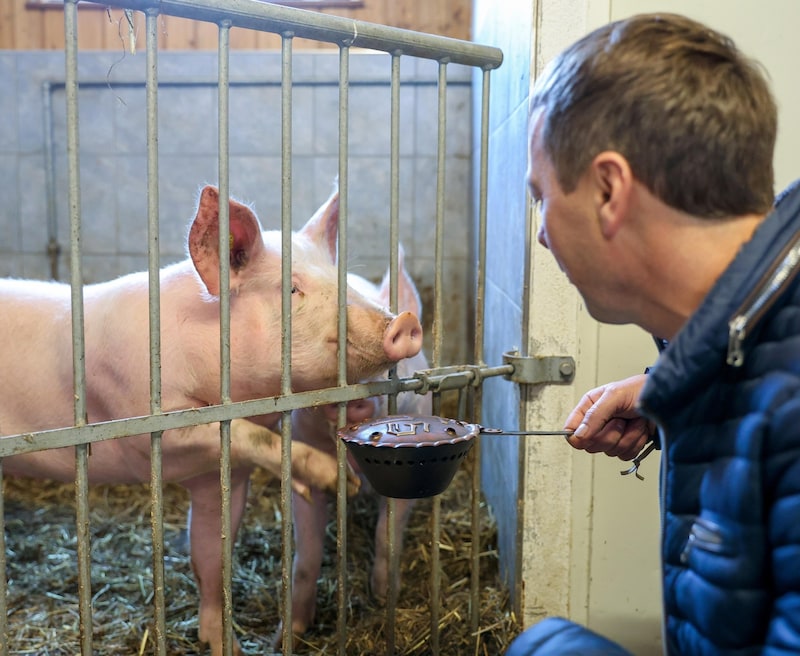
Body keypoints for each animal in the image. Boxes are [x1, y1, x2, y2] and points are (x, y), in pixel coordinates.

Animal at [280, 249, 432, 644]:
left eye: (395, 369)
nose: (358, 399)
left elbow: (386, 537)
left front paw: (383, 596)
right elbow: (307, 558)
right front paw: (293, 630)